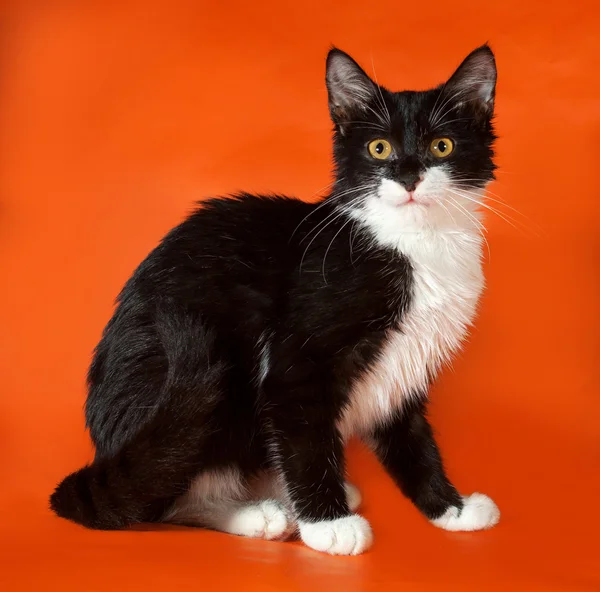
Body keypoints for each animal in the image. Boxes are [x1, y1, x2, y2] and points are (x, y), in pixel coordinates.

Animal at [50, 42, 502, 556]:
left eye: (441, 146)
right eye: (379, 148)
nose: (408, 178)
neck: (413, 243)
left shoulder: (406, 366)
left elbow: (413, 441)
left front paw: (452, 510)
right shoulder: (296, 359)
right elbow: (303, 431)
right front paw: (329, 525)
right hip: (201, 387)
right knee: (161, 496)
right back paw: (258, 514)